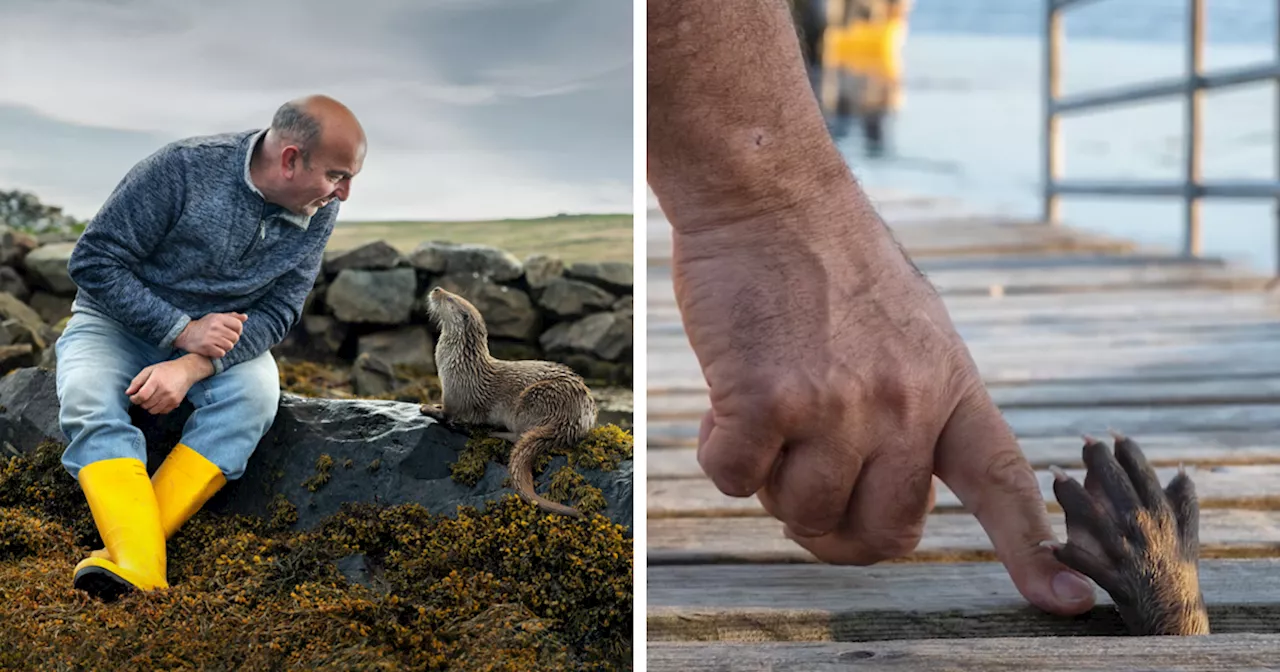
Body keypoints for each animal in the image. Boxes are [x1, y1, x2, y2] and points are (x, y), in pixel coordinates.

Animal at [419, 285, 599, 517]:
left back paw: (496, 432)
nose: (436, 289)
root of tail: (573, 419)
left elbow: (448, 414)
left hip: (532, 400)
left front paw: (428, 407)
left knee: (519, 434)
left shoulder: (455, 393)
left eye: (450, 298)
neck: (459, 362)